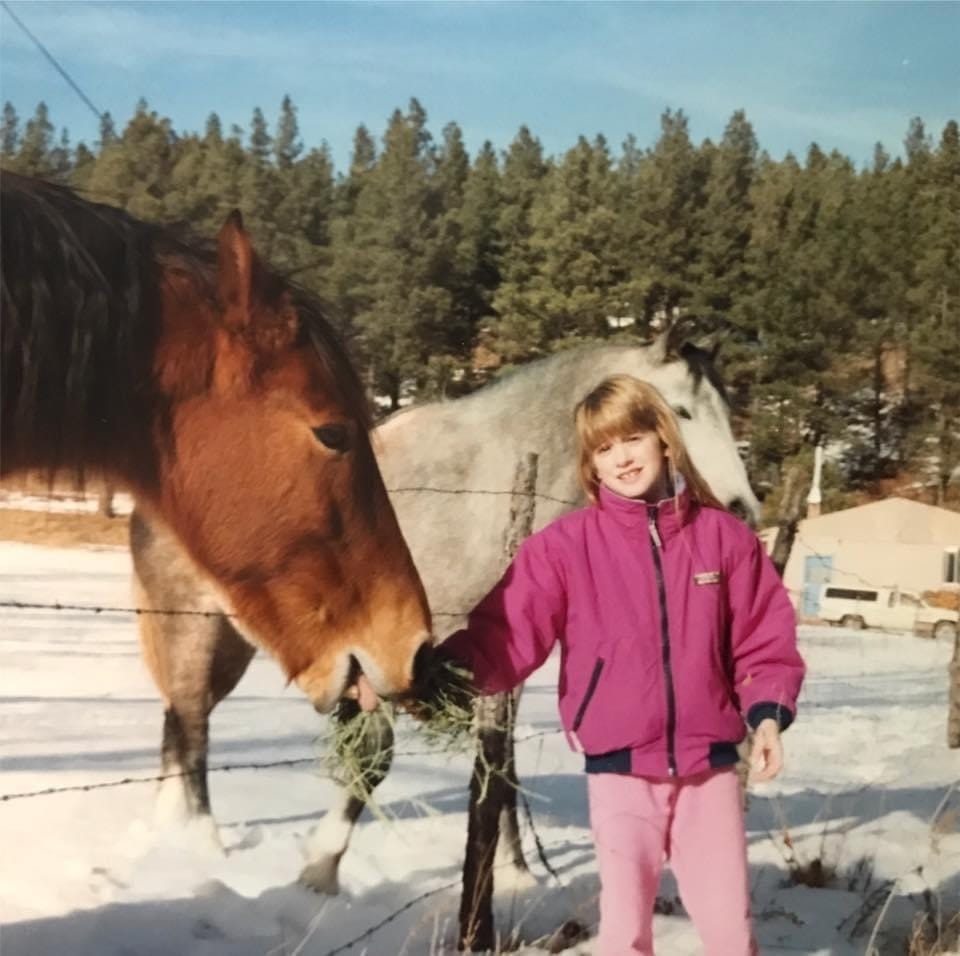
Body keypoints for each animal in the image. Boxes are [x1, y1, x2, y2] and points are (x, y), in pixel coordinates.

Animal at [129, 334, 761, 891]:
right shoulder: (389, 656)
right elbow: (376, 756)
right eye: (678, 410)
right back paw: (202, 845)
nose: (741, 509)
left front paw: (513, 876)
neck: (476, 493)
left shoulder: (497, 667)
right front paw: (321, 867)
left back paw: (169, 833)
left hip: (229, 643)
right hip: (191, 624)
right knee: (193, 724)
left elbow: (498, 763)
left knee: (180, 719)